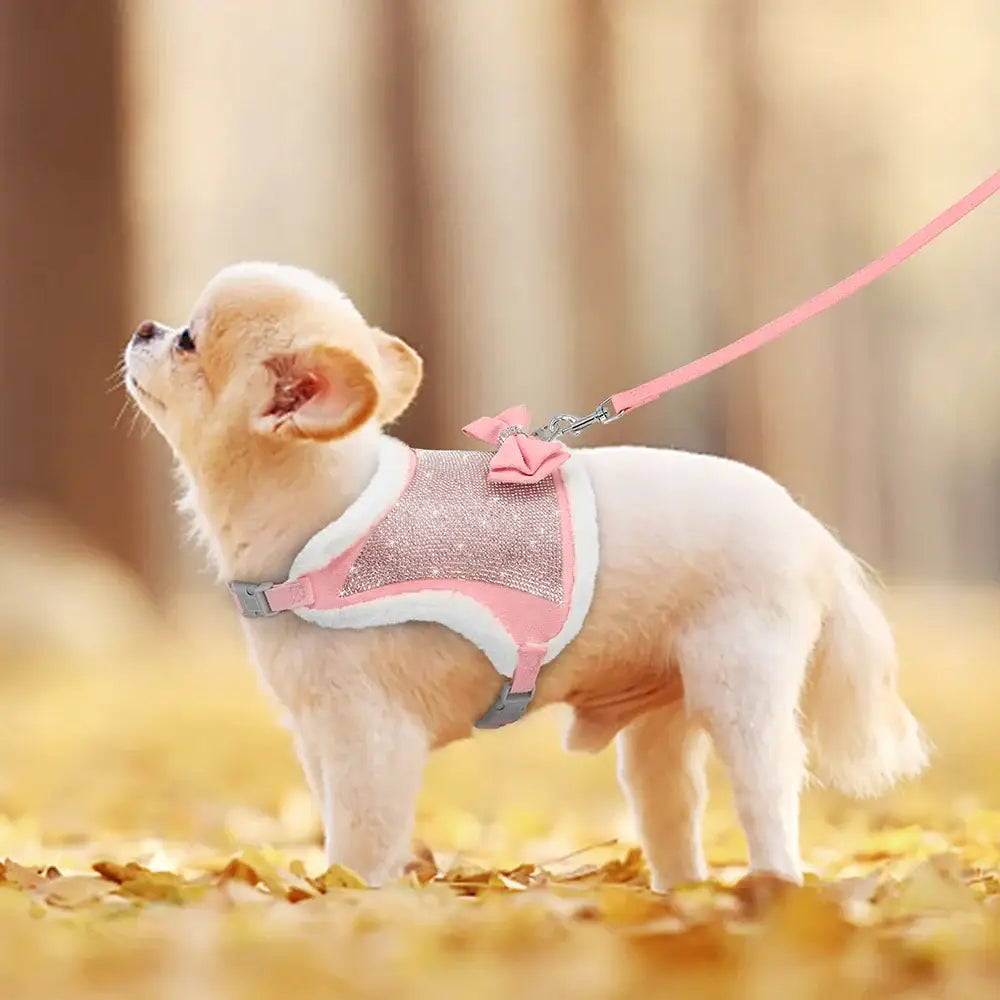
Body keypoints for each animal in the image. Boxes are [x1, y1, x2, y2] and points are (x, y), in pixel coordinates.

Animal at [125, 260, 928, 892]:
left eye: (189, 340)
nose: (143, 326)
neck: (324, 513)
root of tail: (806, 529)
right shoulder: (318, 734)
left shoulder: (369, 734)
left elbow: (361, 841)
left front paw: (344, 901)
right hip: (659, 728)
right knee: (672, 810)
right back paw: (684, 897)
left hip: (740, 688)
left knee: (766, 797)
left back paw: (772, 889)